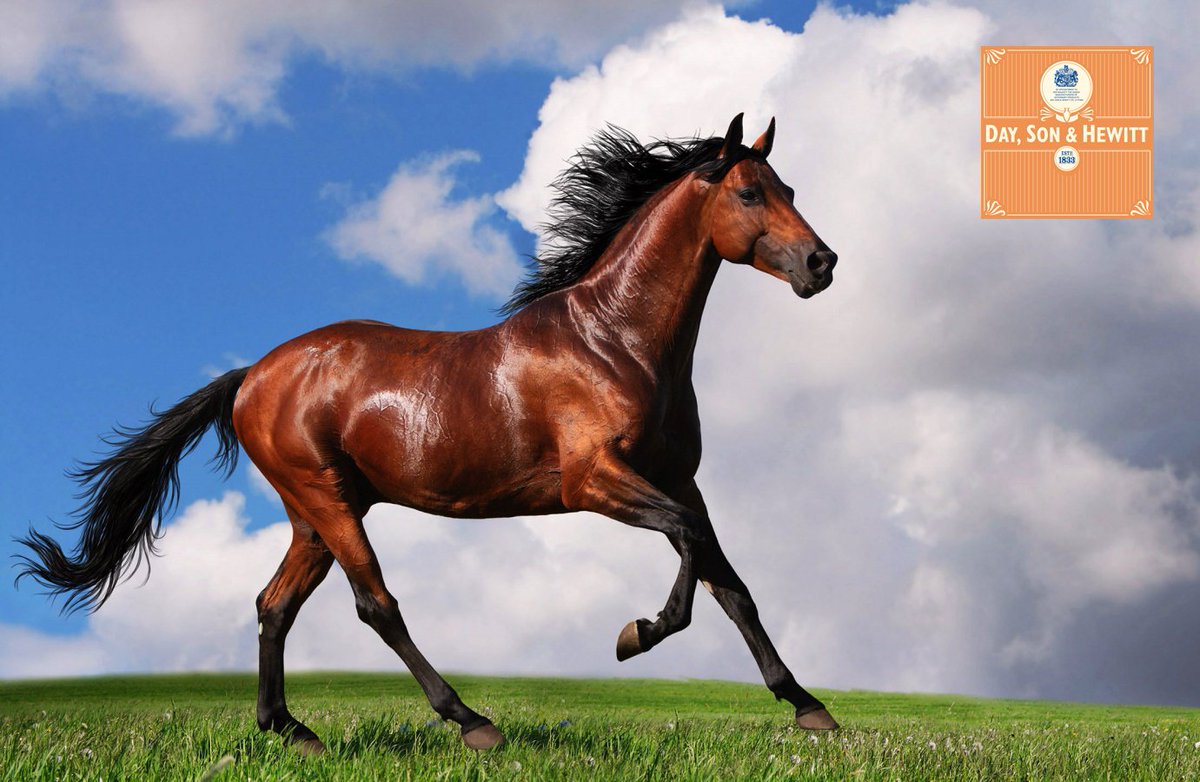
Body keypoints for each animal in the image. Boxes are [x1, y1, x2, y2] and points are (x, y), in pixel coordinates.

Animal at [16, 113, 839, 753]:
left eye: (790, 191)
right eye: (749, 191)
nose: (822, 262)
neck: (616, 341)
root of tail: (252, 375)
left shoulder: (678, 479)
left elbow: (730, 583)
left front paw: (808, 707)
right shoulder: (595, 481)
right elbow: (692, 555)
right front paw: (635, 634)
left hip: (314, 513)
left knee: (274, 604)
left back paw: (293, 731)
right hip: (326, 500)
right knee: (375, 603)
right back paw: (471, 721)